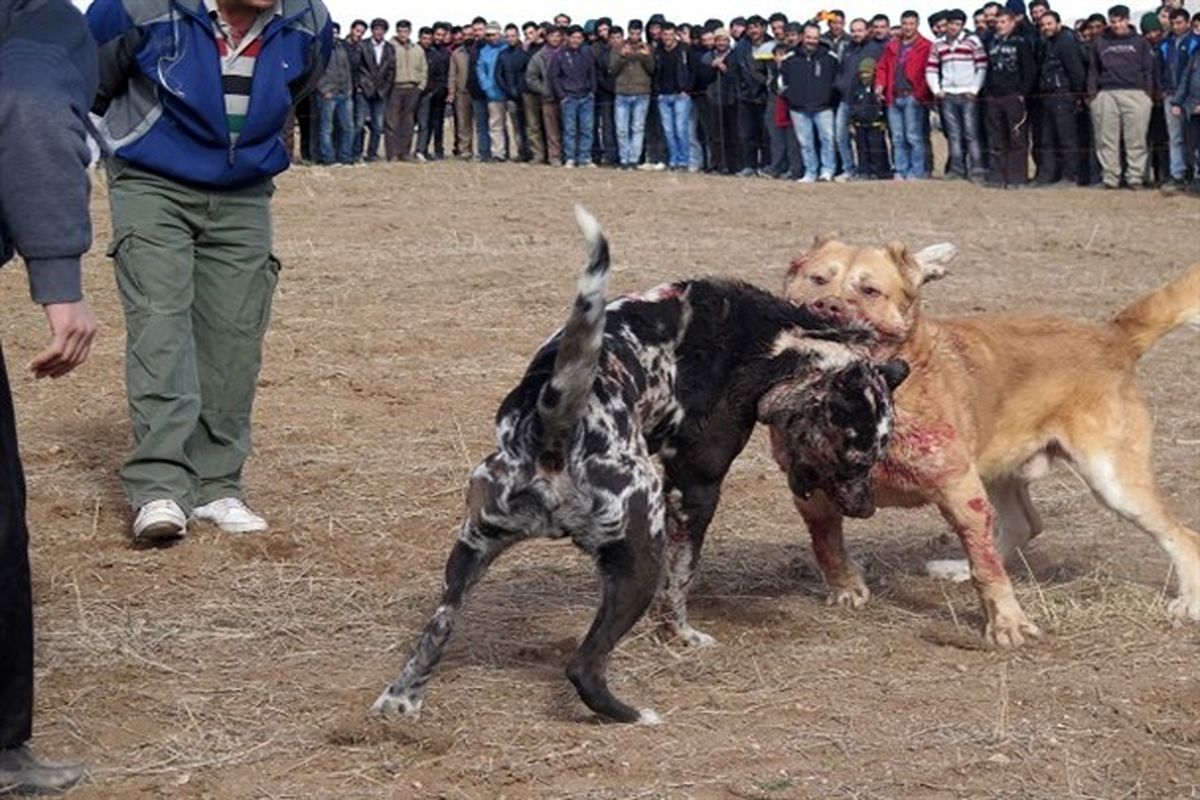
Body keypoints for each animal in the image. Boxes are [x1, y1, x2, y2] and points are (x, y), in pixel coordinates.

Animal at [369, 208, 902, 724]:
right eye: (855, 458)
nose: (866, 509)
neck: (772, 341)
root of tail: (551, 432)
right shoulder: (695, 492)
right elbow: (680, 583)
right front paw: (681, 636)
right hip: (638, 557)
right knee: (583, 666)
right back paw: (633, 713)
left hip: (469, 554)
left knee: (436, 631)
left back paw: (402, 700)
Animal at [777, 235, 1200, 647]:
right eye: (817, 280)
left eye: (870, 290)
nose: (827, 306)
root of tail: (1111, 336)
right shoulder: (809, 492)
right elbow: (827, 545)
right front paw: (846, 588)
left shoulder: (959, 489)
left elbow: (988, 569)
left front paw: (1008, 624)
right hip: (998, 469)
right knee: (1023, 524)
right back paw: (957, 568)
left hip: (1112, 480)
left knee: (1183, 537)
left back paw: (1189, 601)